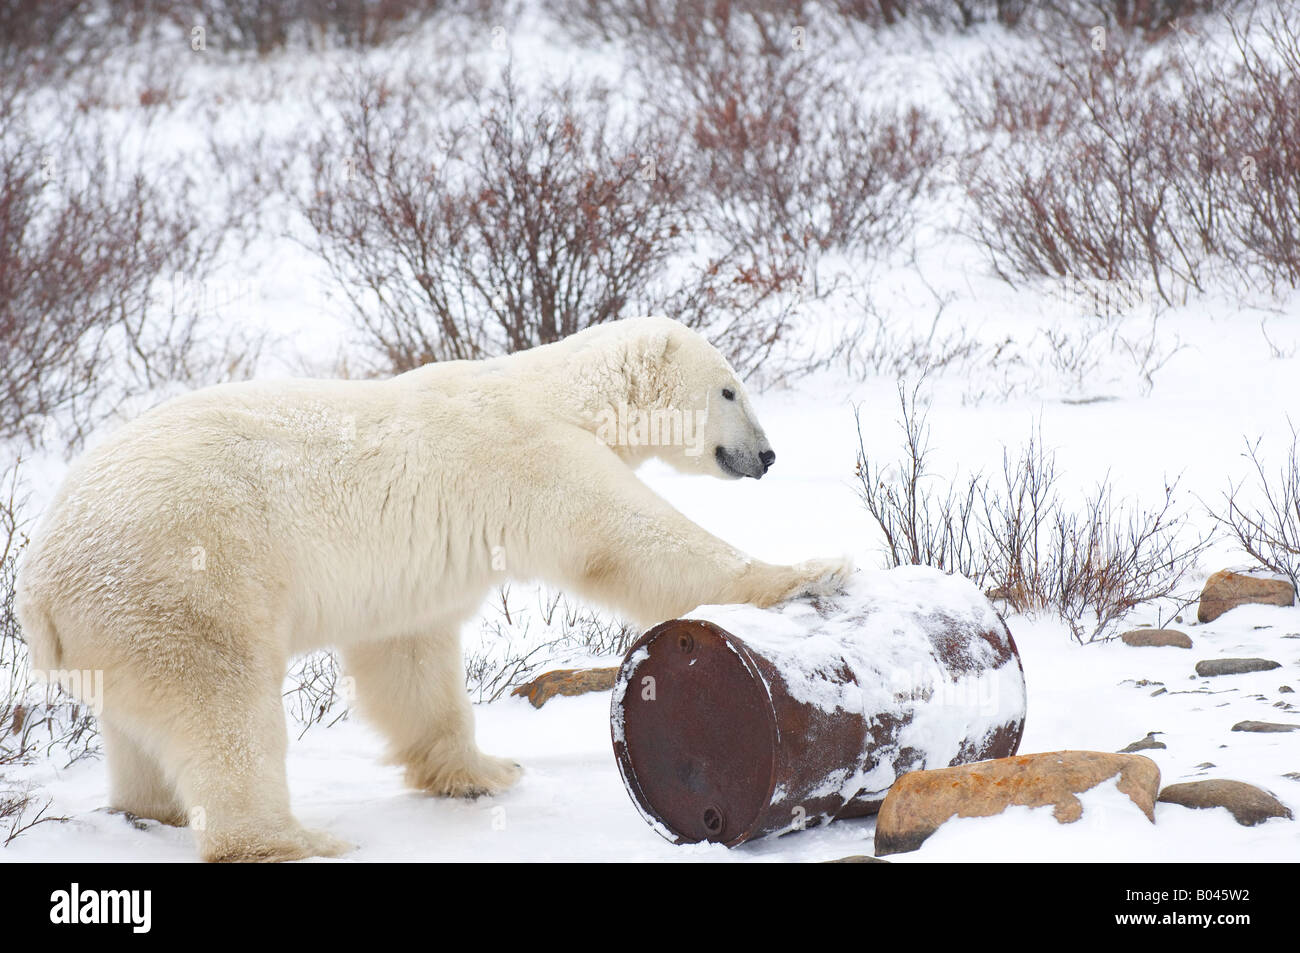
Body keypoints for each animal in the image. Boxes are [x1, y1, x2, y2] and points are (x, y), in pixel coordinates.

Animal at [17, 317, 852, 863]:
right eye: (731, 390)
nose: (768, 456)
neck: (552, 393)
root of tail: (38, 583)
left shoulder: (413, 576)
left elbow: (409, 659)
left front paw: (484, 772)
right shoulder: (536, 459)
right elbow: (633, 544)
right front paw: (812, 571)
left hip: (123, 622)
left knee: (140, 726)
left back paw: (148, 808)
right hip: (187, 578)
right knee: (224, 707)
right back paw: (293, 838)